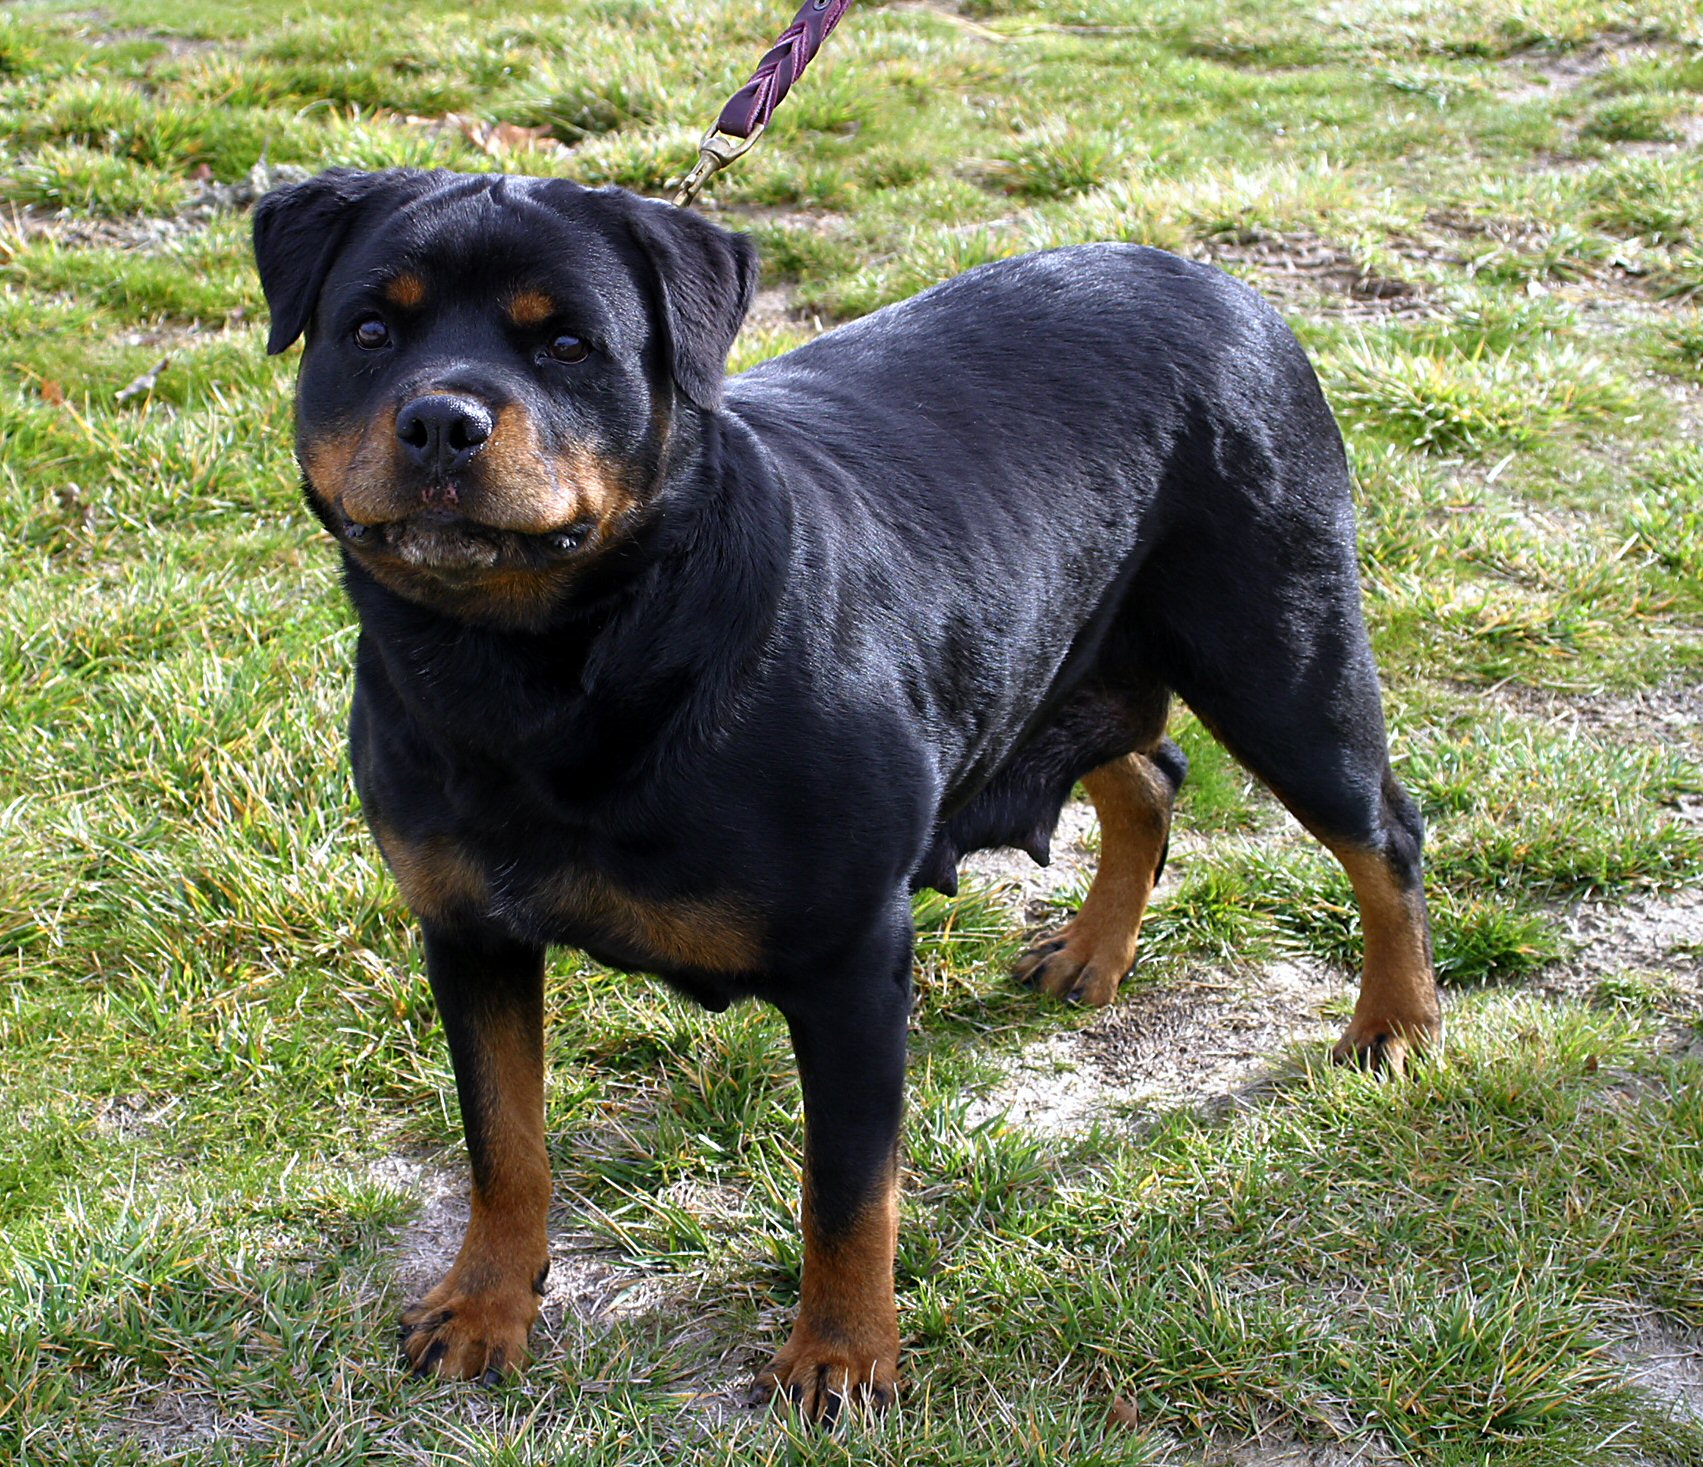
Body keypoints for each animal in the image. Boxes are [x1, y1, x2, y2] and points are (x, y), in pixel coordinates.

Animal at [252, 168, 1444, 1417]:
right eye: (370, 331)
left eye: (569, 345)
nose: (440, 419)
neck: (547, 665)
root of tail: (1218, 284)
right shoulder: (467, 931)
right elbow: (503, 1139)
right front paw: (484, 1305)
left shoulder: (851, 964)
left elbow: (845, 1186)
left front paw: (838, 1355)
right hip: (1063, 663)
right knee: (1147, 775)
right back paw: (1092, 950)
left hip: (1276, 659)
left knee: (1379, 834)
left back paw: (1395, 1023)